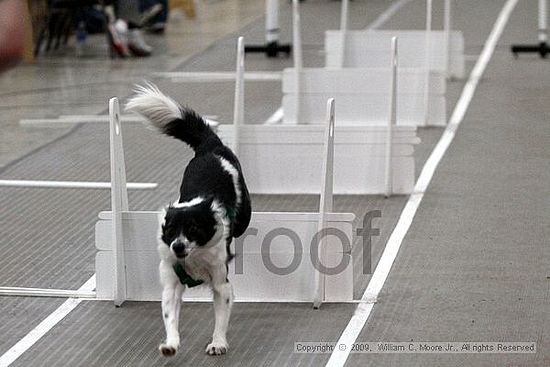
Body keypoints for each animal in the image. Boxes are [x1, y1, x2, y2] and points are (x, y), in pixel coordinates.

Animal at [125, 83, 252, 356]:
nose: (178, 246)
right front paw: (170, 344)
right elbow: (170, 316)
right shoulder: (171, 283)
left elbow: (220, 317)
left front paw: (218, 343)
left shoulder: (221, 283)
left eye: (193, 229)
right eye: (171, 231)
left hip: (245, 215)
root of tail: (210, 147)